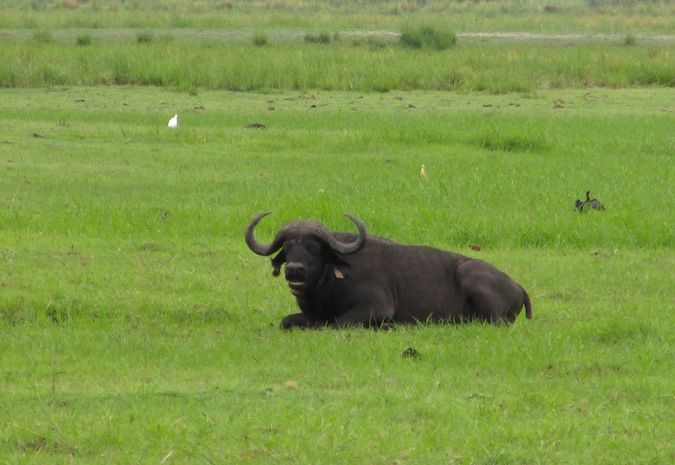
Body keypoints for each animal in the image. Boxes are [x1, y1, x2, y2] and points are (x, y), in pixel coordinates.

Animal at [244, 212, 532, 328]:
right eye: (288, 247)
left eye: (315, 248)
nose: (295, 269)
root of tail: (518, 286)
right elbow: (287, 321)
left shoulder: (376, 308)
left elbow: (336, 323)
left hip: (473, 279)